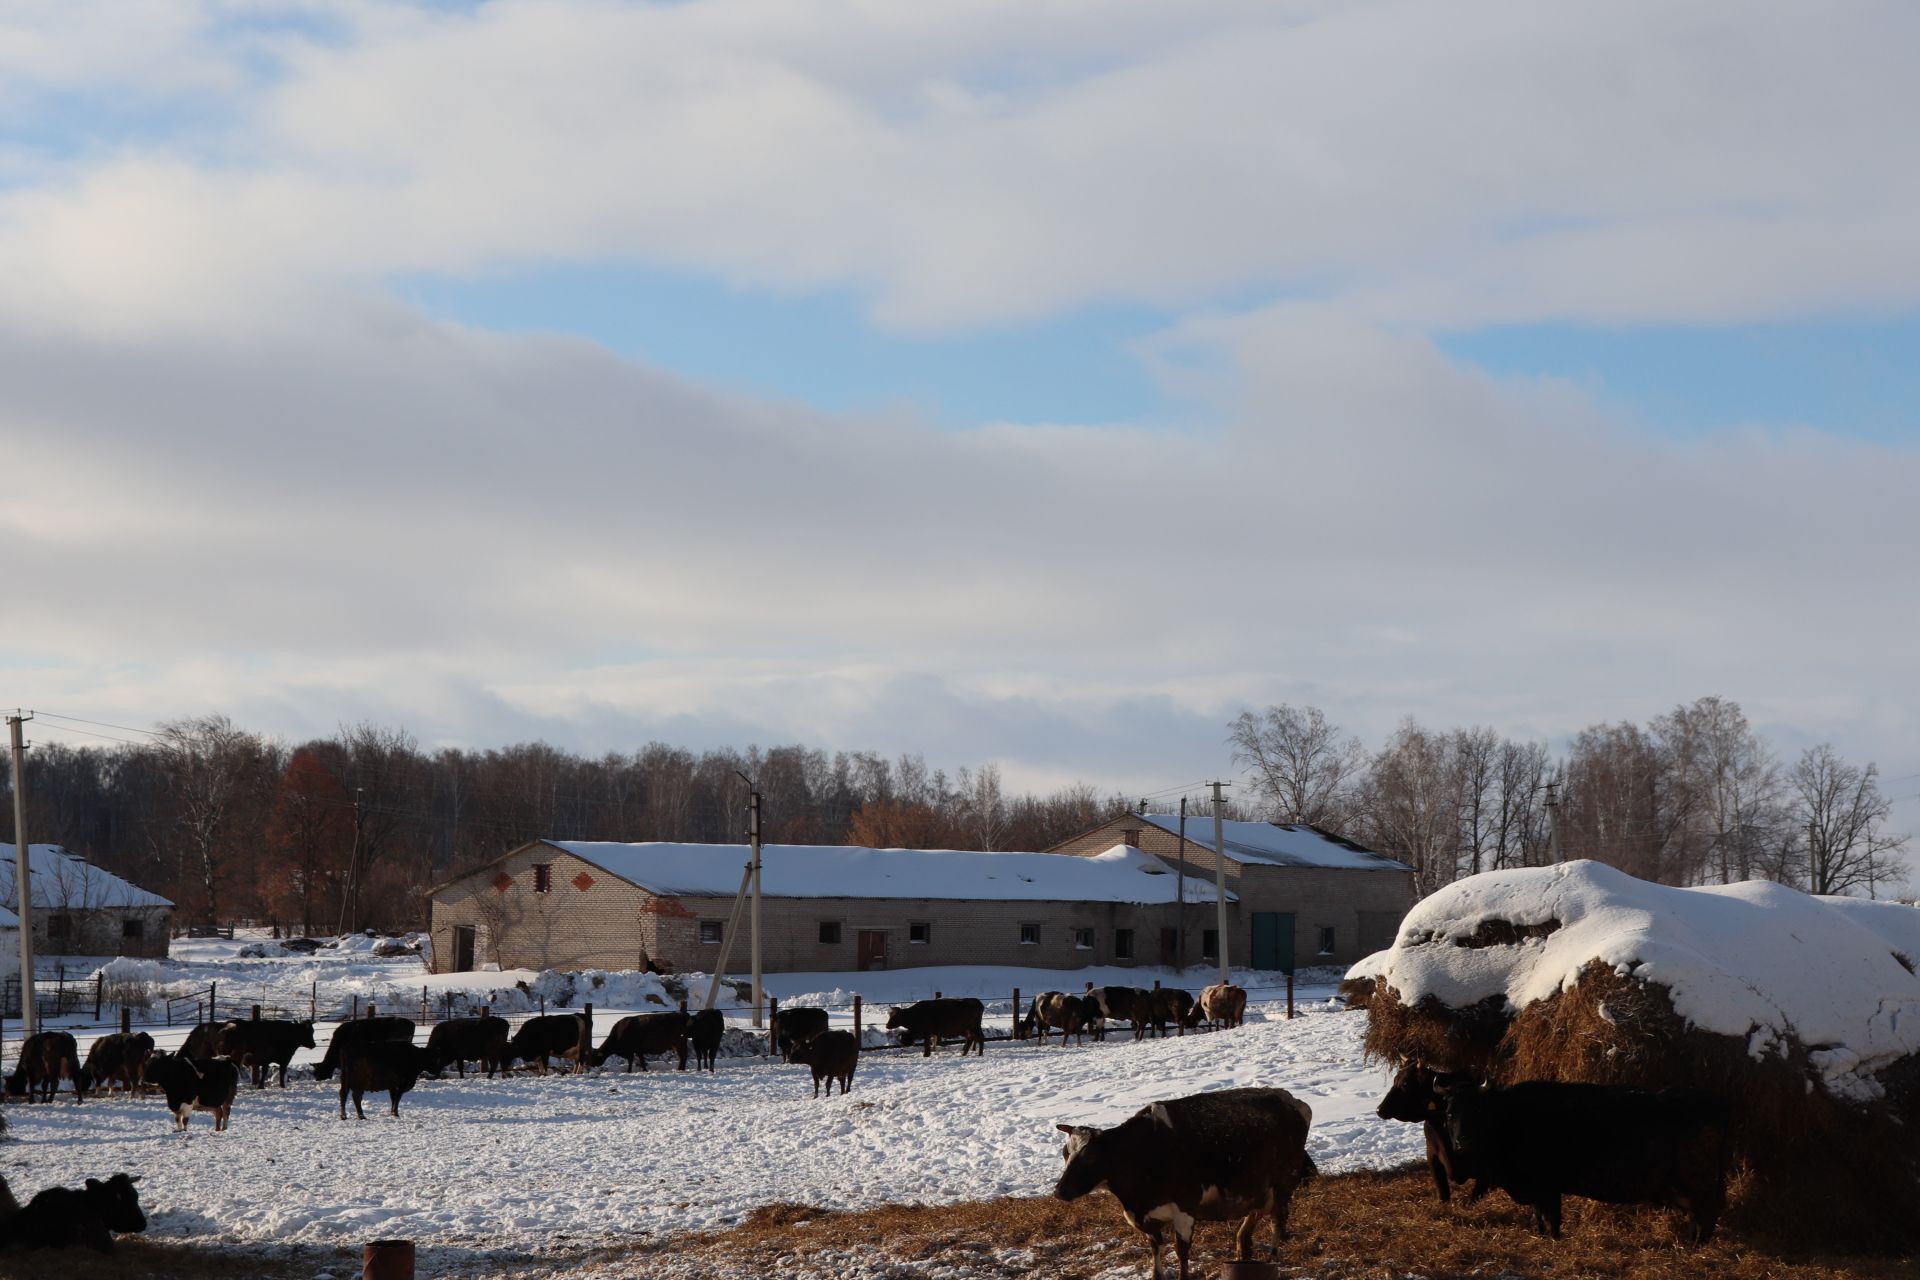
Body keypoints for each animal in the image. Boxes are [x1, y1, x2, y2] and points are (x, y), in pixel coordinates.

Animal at [1052, 1082, 1320, 1280]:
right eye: (1065, 1153)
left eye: (1091, 1156)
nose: (1059, 1191)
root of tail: (1292, 1100)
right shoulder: (1144, 1217)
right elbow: (1155, 1250)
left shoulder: (1184, 1210)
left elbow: (1182, 1253)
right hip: (1256, 1186)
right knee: (1255, 1212)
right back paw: (1243, 1244)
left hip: (1283, 1183)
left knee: (1277, 1221)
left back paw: (1271, 1258)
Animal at [1436, 1074, 1735, 1243]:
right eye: (1449, 1112)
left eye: (1477, 1110)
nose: (1462, 1142)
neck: (1509, 1117)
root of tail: (1719, 1102)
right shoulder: (1538, 1190)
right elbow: (1539, 1218)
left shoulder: (1548, 1187)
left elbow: (1552, 1219)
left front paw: (1553, 1241)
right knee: (1697, 1214)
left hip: (1697, 1182)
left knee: (1708, 1212)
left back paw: (1698, 1246)